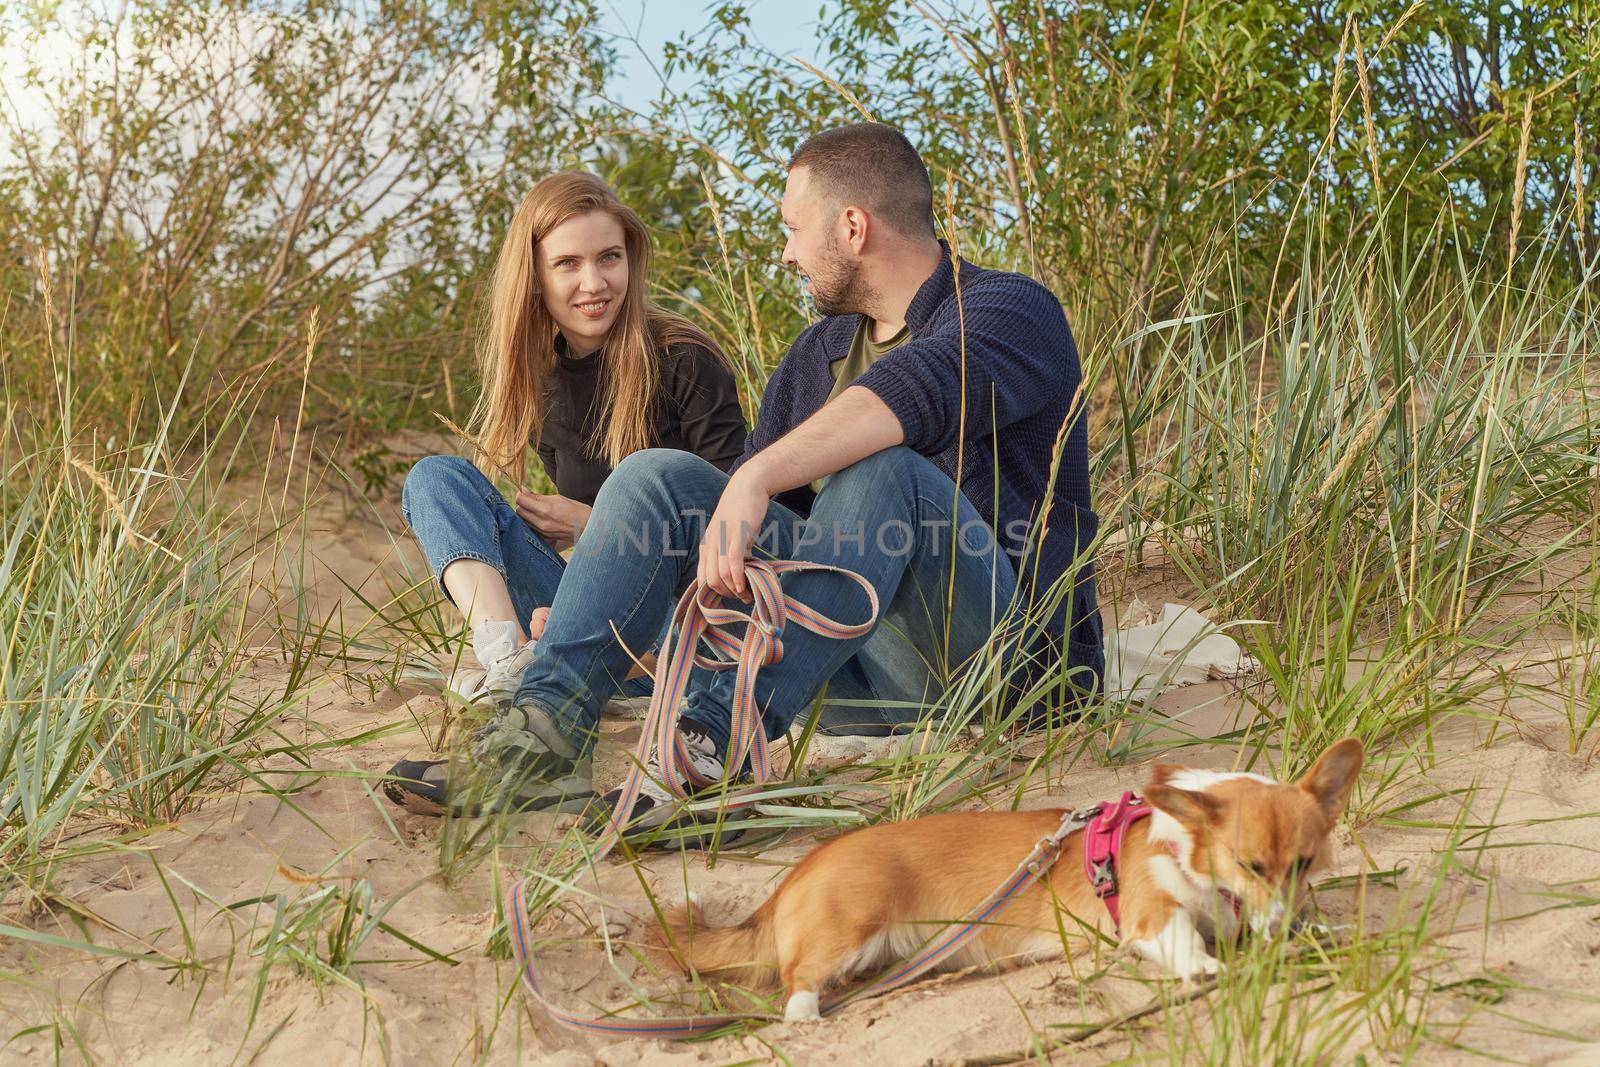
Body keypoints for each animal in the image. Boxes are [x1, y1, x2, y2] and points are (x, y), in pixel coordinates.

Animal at [659, 735, 1363, 1017]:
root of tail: (800, 870)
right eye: (1250, 865)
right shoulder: (1152, 915)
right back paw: (808, 1015)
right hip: (848, 926)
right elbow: (1185, 941)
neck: (1186, 843)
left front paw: (1316, 933)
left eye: (1303, 864)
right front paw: (1211, 968)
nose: (1280, 932)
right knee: (795, 979)